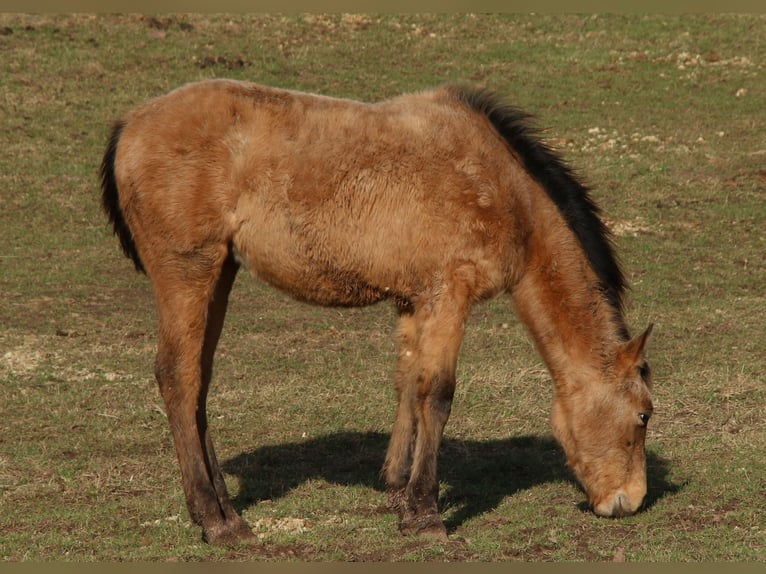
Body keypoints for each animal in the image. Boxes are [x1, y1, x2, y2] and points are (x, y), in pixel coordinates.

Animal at [100, 79, 656, 548]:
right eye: (643, 414)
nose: (629, 502)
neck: (503, 187)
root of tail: (131, 122)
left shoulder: (415, 302)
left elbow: (409, 386)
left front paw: (398, 493)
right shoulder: (449, 294)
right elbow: (439, 394)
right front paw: (426, 513)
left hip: (220, 274)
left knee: (199, 382)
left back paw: (221, 507)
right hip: (189, 273)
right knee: (179, 377)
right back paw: (218, 522)